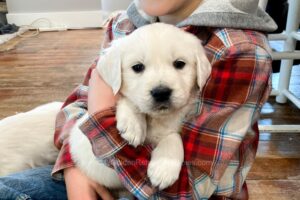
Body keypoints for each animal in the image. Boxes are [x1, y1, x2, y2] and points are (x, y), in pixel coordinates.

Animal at [69, 22, 211, 190]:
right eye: (137, 67)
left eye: (179, 64)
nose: (161, 93)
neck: (157, 117)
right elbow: (130, 100)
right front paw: (133, 125)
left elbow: (173, 135)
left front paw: (164, 167)